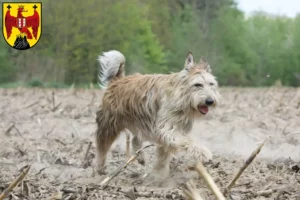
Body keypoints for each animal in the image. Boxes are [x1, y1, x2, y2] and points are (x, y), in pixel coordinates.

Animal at [95, 50, 220, 178]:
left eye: (211, 84)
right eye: (198, 84)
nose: (210, 101)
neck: (181, 97)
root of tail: (117, 80)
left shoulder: (171, 131)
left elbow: (163, 156)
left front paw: (160, 175)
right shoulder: (167, 129)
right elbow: (187, 141)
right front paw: (203, 152)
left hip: (141, 123)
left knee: (135, 139)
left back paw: (141, 157)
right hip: (109, 125)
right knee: (102, 147)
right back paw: (101, 168)